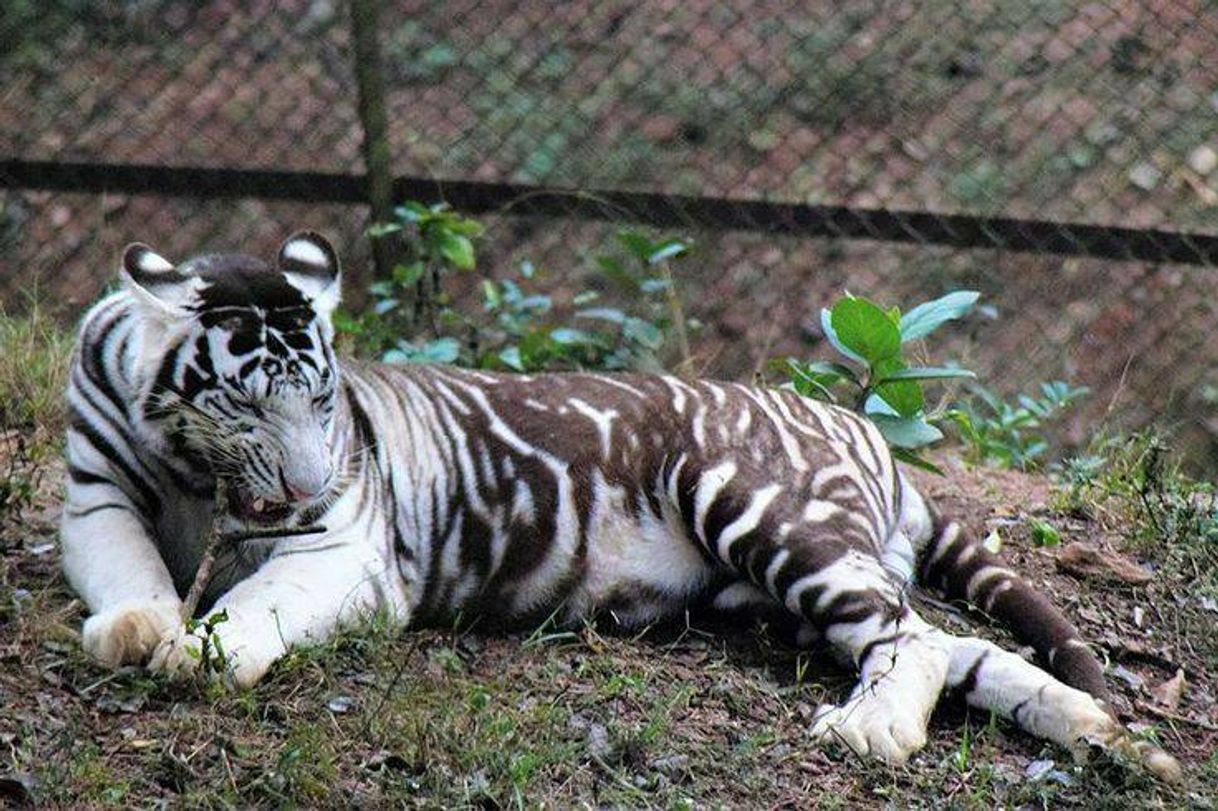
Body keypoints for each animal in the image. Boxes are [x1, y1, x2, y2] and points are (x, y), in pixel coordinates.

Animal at [61, 232, 1180, 781]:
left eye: (324, 401)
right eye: (250, 400)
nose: (303, 485)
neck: (198, 471)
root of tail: (863, 433)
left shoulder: (341, 551)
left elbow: (252, 605)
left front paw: (201, 649)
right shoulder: (93, 495)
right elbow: (126, 568)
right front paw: (137, 626)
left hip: (769, 513)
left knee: (912, 641)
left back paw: (873, 733)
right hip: (774, 593)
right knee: (955, 645)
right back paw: (1109, 737)